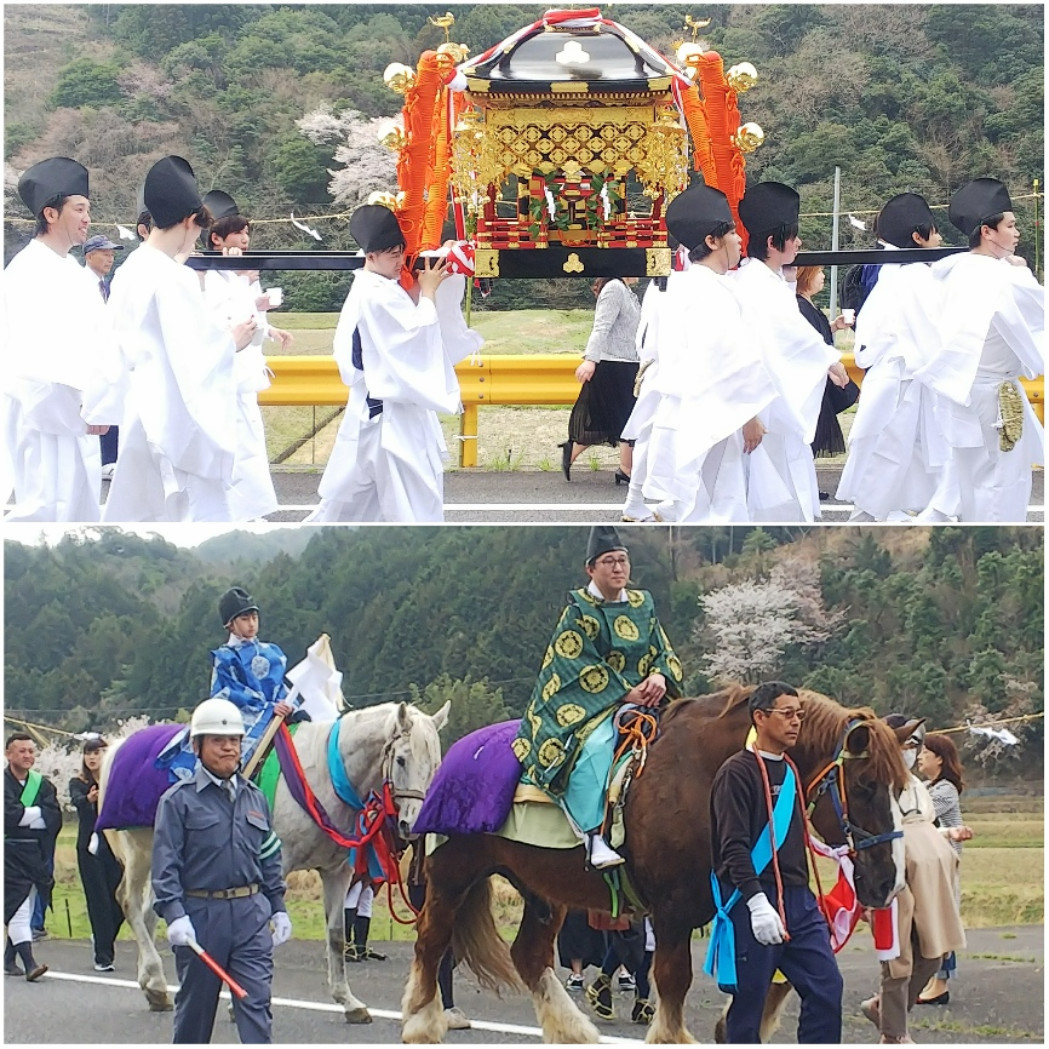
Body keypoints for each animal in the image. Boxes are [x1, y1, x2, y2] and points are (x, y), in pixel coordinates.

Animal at [96, 700, 444, 1019]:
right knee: (128, 901)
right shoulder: (275, 864)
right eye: (401, 759)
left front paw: (347, 1001)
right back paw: (155, 977)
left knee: (151, 910)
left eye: (436, 764)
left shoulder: (337, 872)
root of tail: (120, 745)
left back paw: (154, 985)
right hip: (141, 848)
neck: (324, 777)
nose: (412, 824)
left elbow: (335, 934)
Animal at [400, 688, 910, 1040]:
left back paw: (574, 1033)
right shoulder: (672, 909)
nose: (887, 882)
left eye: (901, 788)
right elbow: (673, 981)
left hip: (541, 886)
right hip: (452, 872)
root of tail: (455, 754)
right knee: (431, 943)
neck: (704, 774)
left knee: (528, 955)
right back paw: (420, 1025)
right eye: (864, 785)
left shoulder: (733, 898)